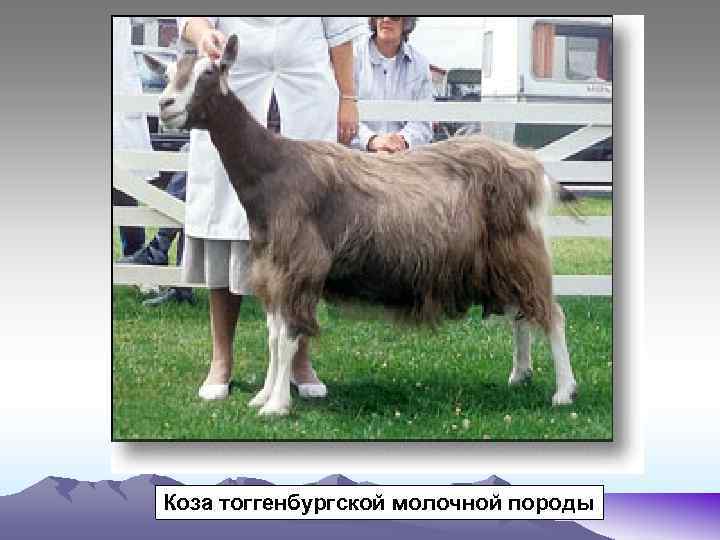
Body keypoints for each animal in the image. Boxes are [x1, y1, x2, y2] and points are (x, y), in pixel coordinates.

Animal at [144, 35, 578, 416]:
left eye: (209, 72)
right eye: (168, 73)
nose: (165, 105)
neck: (274, 168)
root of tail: (533, 167)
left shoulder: (298, 267)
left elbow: (286, 338)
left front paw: (276, 406)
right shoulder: (271, 269)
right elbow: (272, 335)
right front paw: (264, 396)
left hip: (520, 250)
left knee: (552, 315)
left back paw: (563, 392)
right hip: (498, 260)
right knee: (522, 315)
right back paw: (520, 374)